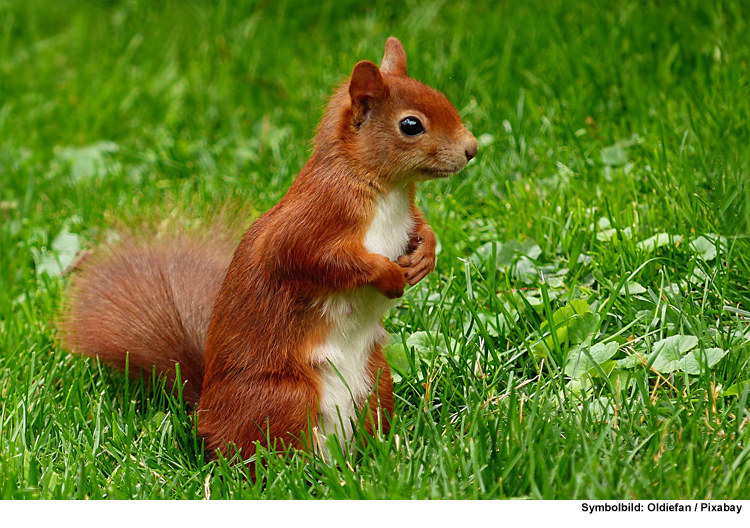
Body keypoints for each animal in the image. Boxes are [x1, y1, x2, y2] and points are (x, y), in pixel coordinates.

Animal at [61, 37, 478, 460]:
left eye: (442, 97)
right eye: (411, 125)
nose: (472, 148)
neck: (387, 190)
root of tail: (205, 411)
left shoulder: (404, 215)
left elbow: (421, 228)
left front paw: (425, 255)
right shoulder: (313, 220)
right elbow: (315, 260)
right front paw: (389, 274)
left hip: (377, 382)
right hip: (284, 398)